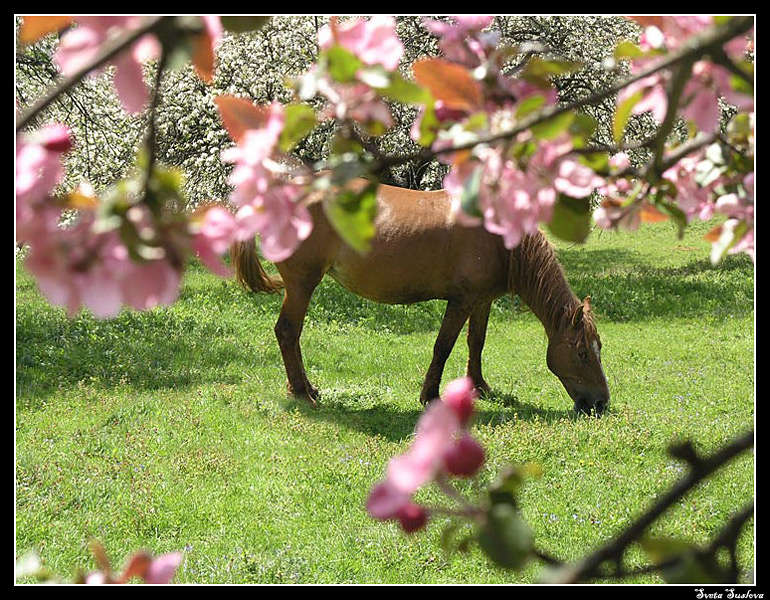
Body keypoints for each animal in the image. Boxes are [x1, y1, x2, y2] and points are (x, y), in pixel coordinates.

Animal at [231, 178, 608, 414]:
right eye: (581, 353)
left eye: (599, 348)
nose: (601, 403)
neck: (497, 236)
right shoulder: (462, 300)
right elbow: (443, 346)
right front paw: (430, 395)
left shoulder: (482, 300)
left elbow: (476, 342)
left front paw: (479, 386)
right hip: (302, 283)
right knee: (287, 332)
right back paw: (301, 392)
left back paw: (307, 389)